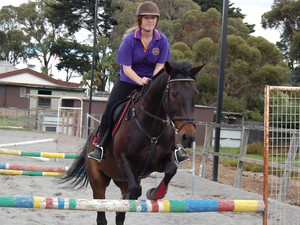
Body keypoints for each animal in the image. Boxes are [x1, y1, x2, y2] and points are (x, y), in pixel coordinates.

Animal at [62, 60, 205, 224]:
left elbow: (171, 170)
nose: (189, 136)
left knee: (120, 214)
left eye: (195, 94)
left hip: (121, 180)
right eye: (174, 94)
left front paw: (155, 193)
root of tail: (90, 139)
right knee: (102, 213)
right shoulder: (123, 159)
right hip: (99, 181)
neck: (151, 127)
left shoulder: (160, 160)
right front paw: (147, 194)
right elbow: (136, 189)